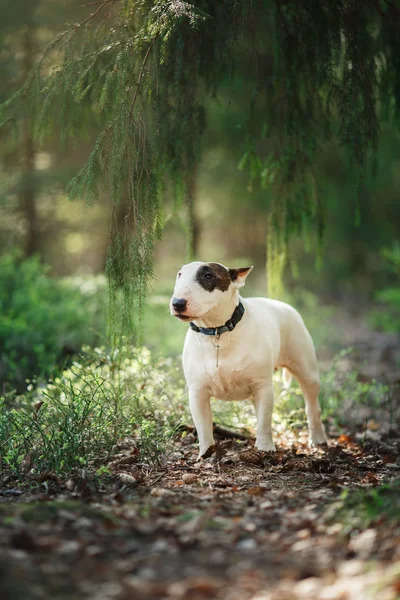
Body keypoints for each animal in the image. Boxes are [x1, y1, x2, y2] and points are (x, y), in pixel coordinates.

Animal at [170, 260, 328, 458]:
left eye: (208, 276)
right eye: (179, 275)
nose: (177, 303)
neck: (217, 332)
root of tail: (285, 306)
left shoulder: (263, 385)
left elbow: (265, 420)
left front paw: (265, 448)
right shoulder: (197, 391)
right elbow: (203, 426)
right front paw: (206, 453)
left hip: (306, 369)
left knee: (312, 405)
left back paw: (318, 439)